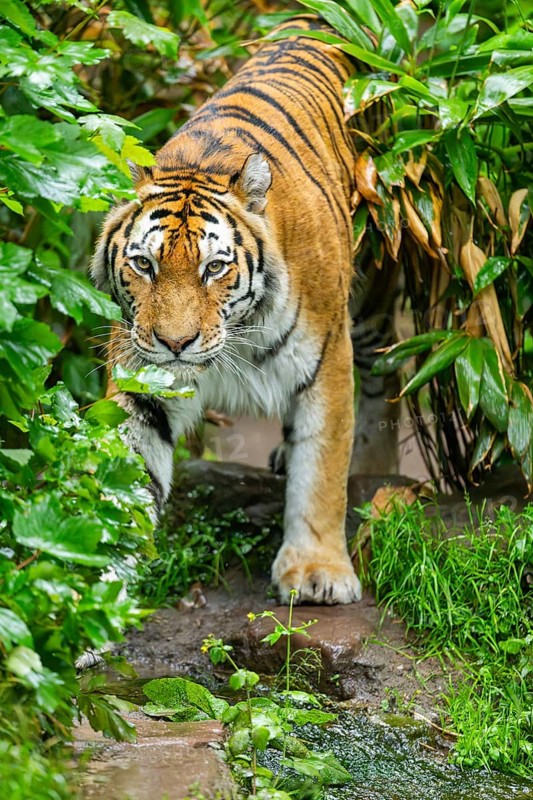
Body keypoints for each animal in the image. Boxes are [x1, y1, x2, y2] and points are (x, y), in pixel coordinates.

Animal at [91, 16, 362, 605]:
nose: (175, 344)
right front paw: (89, 585)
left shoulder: (328, 358)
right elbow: (127, 472)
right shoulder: (142, 377)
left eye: (214, 268)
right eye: (143, 264)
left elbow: (323, 464)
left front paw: (317, 572)